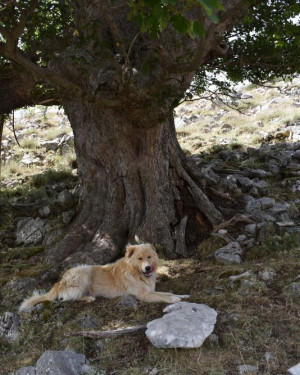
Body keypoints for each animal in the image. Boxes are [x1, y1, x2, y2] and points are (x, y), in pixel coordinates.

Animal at [19, 244, 190, 312]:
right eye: (140, 258)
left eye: (149, 257)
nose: (148, 268)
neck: (135, 272)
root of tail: (59, 281)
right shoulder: (143, 295)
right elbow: (163, 296)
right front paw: (174, 299)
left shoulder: (149, 290)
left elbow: (167, 292)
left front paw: (182, 295)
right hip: (84, 270)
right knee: (68, 298)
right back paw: (88, 298)